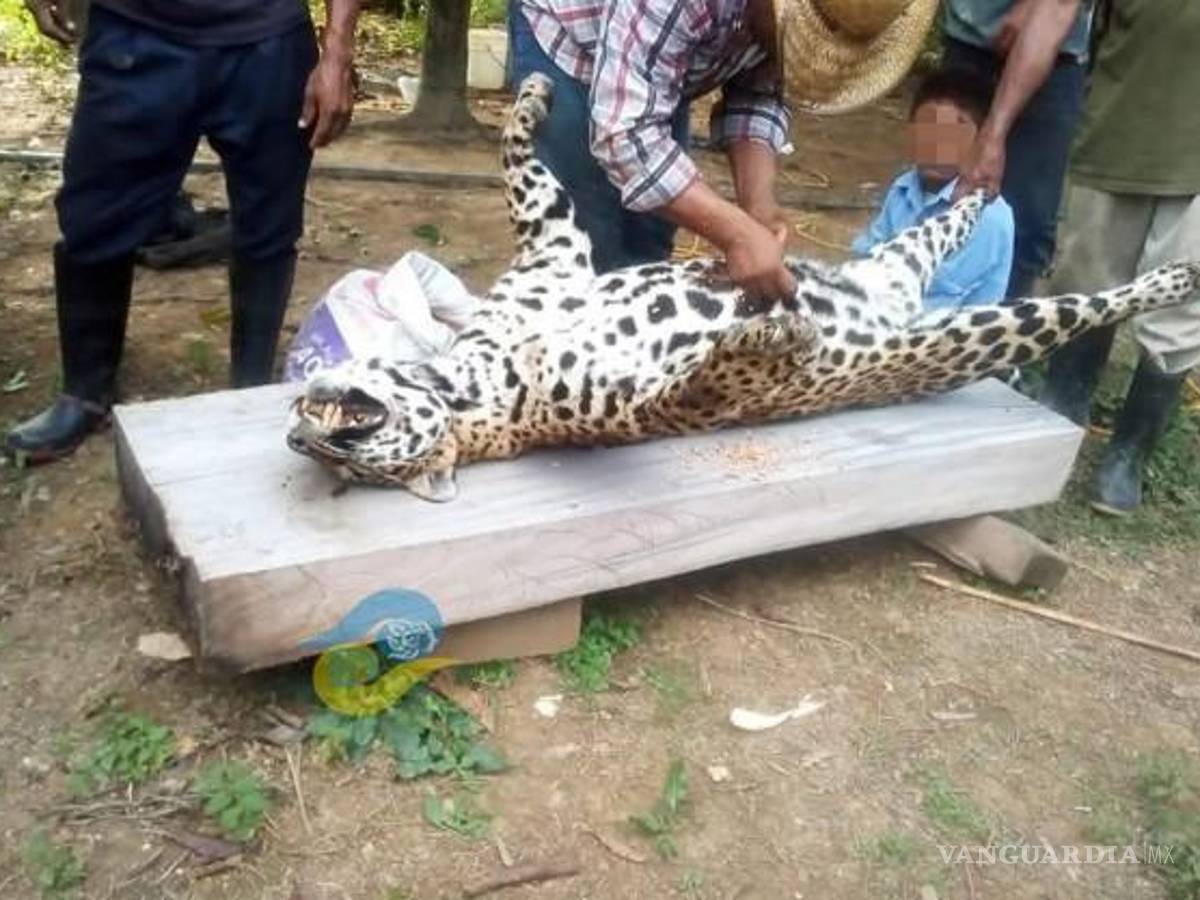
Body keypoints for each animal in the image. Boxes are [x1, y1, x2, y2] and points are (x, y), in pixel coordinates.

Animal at [286, 73, 1200, 502]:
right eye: (335, 467)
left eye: (318, 442)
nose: (299, 429)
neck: (466, 375)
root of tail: (897, 306)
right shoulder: (639, 403)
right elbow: (706, 381)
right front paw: (771, 334)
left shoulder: (555, 250)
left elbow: (524, 172)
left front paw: (534, 99)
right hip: (967, 332)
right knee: (1080, 306)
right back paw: (1176, 273)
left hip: (901, 261)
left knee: (958, 210)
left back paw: (981, 166)